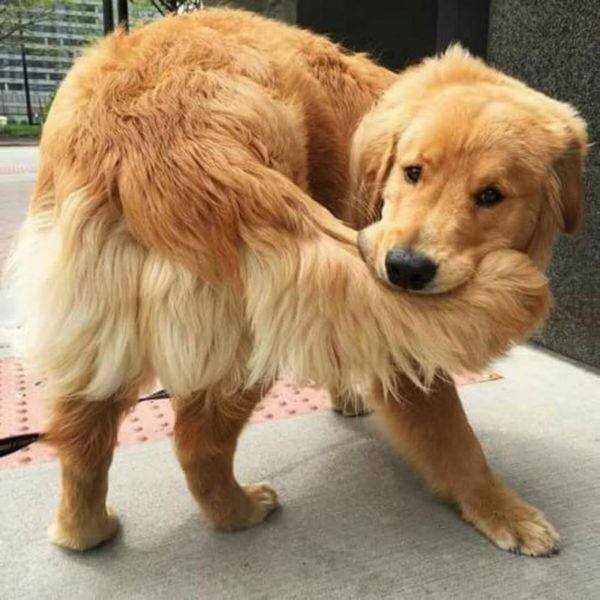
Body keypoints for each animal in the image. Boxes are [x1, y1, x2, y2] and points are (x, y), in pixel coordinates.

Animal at [5, 9, 585, 556]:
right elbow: (454, 439)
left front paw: (347, 396)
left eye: (491, 196)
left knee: (81, 439)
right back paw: (239, 512)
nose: (404, 268)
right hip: (250, 333)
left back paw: (84, 530)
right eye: (413, 171)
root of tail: (141, 128)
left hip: (99, 324)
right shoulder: (400, 330)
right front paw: (503, 511)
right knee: (197, 445)